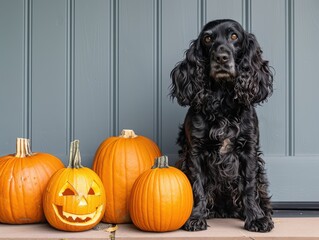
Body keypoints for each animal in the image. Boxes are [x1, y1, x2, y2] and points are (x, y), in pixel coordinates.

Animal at [171, 19, 274, 232]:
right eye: (208, 38)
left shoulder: (248, 150)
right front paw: (196, 217)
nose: (221, 58)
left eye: (234, 36)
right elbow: (197, 187)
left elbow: (249, 186)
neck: (222, 102)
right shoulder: (195, 151)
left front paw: (256, 218)